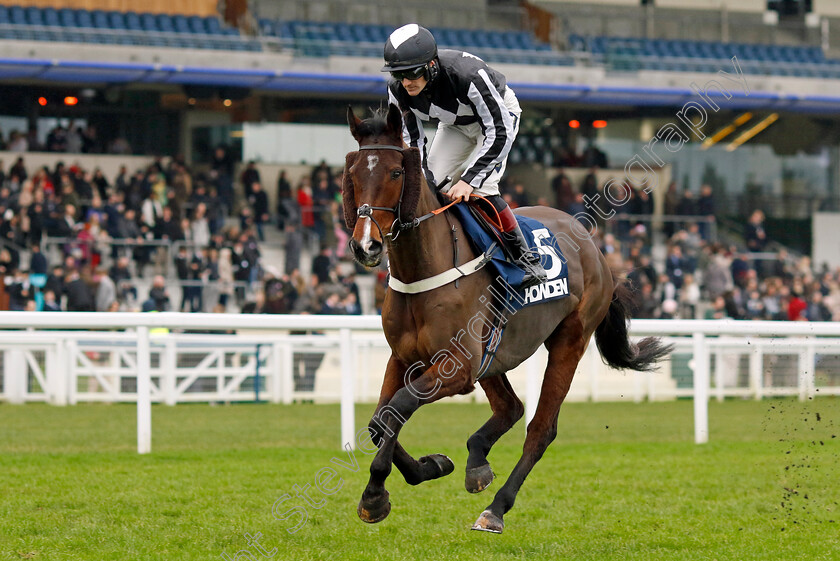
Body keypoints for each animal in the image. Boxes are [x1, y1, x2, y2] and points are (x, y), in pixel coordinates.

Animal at [342, 105, 668, 532]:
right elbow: (380, 421)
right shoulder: (404, 357)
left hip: (569, 339)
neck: (424, 270)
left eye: (396, 172)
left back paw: (495, 508)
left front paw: (376, 493)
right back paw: (476, 462)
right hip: (492, 353)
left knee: (541, 429)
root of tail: (595, 248)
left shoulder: (458, 367)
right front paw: (427, 468)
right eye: (353, 174)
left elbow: (397, 408)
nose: (366, 245)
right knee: (510, 407)